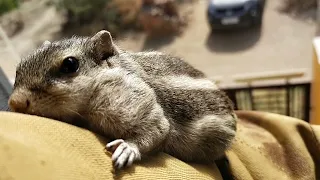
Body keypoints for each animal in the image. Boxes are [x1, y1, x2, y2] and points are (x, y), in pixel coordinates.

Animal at [8, 30, 236, 169]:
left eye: (70, 64)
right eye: (19, 66)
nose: (15, 102)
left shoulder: (134, 101)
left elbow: (157, 129)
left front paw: (128, 148)